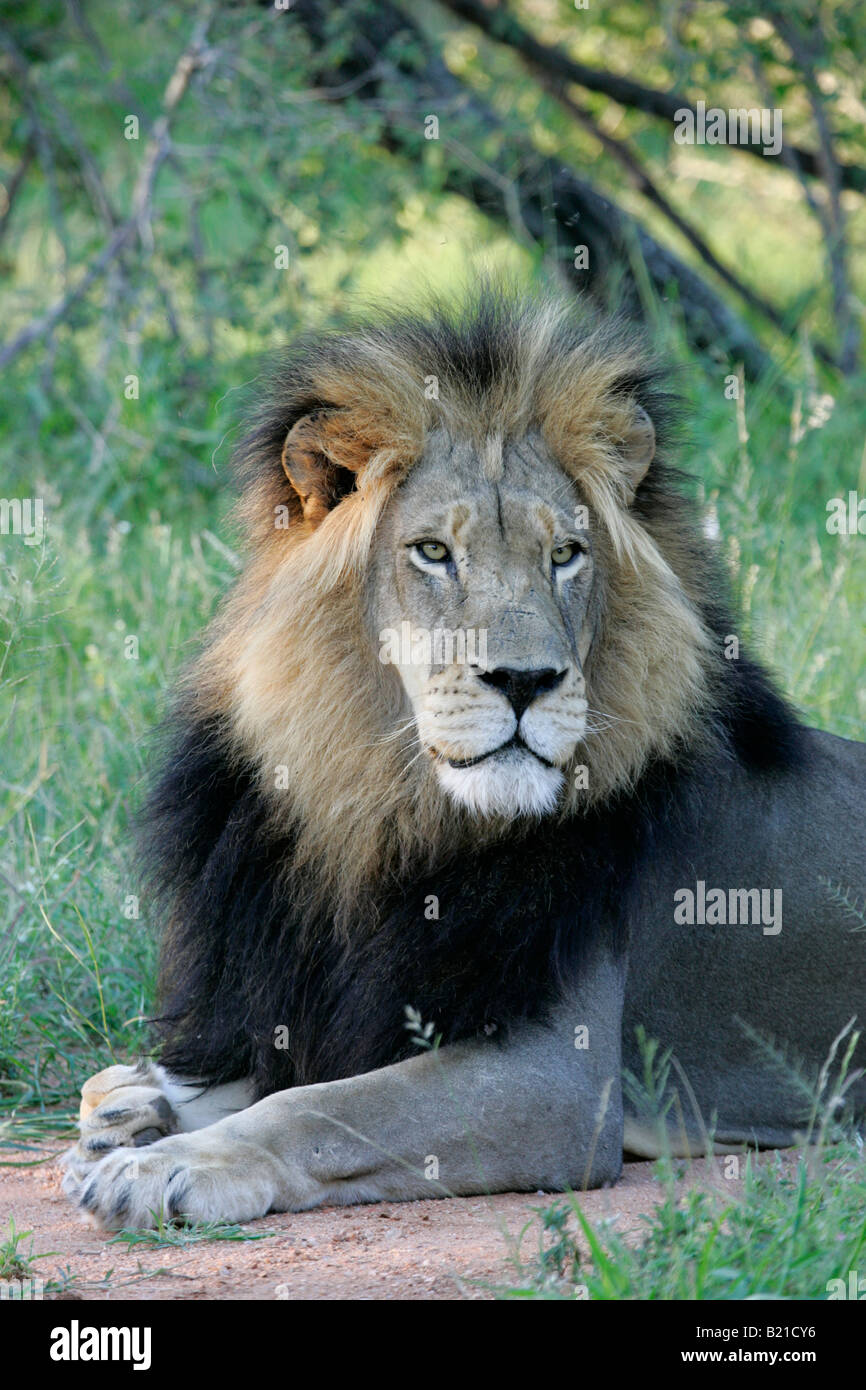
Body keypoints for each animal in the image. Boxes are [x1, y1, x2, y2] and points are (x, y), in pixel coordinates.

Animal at [62, 290, 866, 1229]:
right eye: (434, 553)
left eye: (566, 556)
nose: (526, 680)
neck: (382, 808)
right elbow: (209, 1079)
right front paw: (137, 1103)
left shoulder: (560, 1080)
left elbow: (320, 1107)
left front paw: (167, 1164)